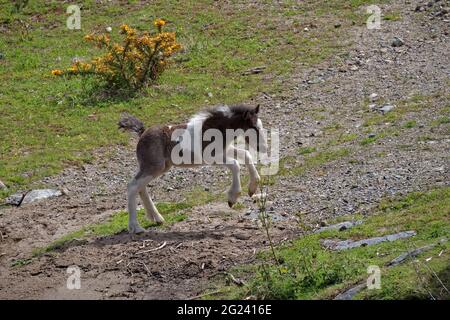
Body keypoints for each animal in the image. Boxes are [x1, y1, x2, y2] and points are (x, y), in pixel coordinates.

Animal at [119, 104, 268, 232]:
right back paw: (136, 227)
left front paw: (252, 188)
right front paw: (232, 197)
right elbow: (235, 165)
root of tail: (142, 134)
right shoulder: (210, 157)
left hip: (159, 167)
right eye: (254, 127)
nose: (264, 148)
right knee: (133, 186)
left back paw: (157, 218)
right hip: (154, 167)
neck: (216, 129)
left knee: (140, 187)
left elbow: (246, 154)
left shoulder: (225, 150)